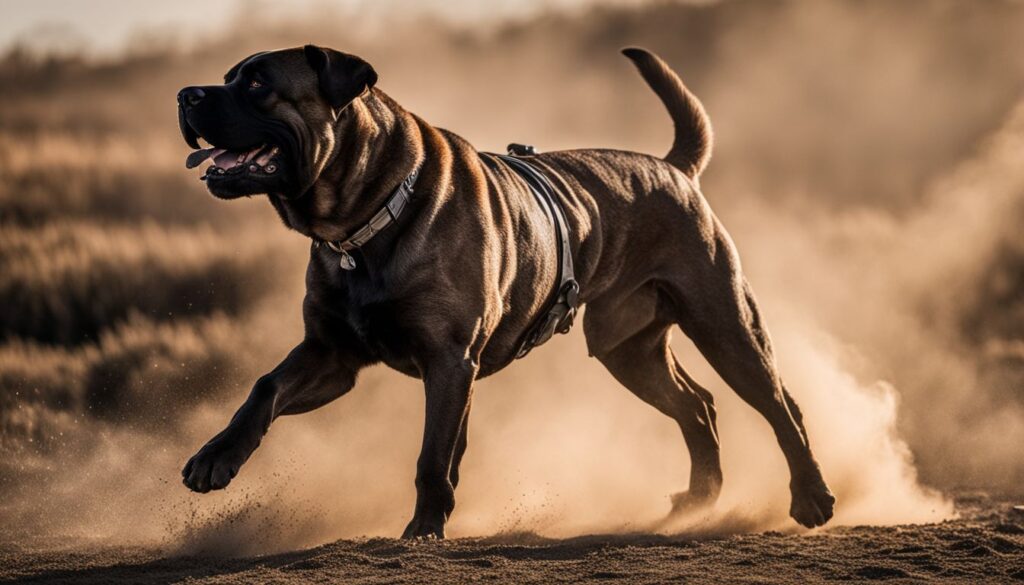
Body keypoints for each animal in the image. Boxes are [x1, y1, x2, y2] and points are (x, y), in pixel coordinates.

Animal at [176, 45, 831, 540]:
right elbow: (265, 390)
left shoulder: (448, 361)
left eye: (257, 82)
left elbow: (432, 456)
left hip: (724, 325)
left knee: (780, 406)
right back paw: (698, 501)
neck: (363, 221)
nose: (186, 94)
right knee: (698, 406)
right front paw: (216, 457)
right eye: (229, 76)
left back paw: (811, 497)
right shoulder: (332, 356)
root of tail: (674, 168)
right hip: (627, 348)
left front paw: (423, 530)